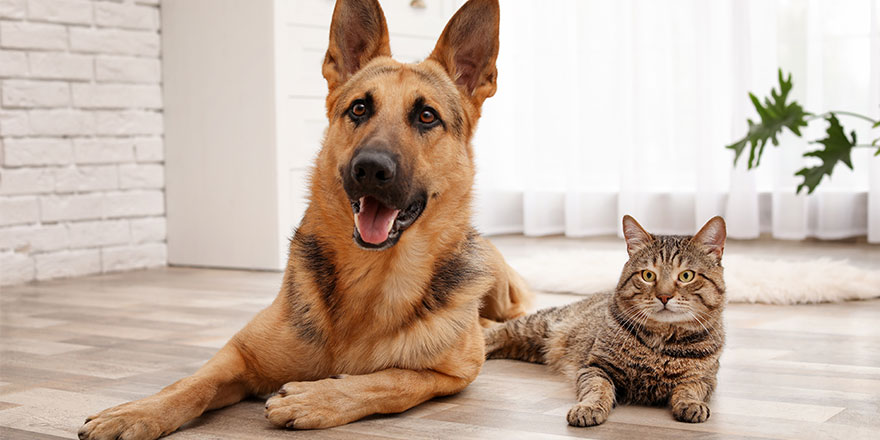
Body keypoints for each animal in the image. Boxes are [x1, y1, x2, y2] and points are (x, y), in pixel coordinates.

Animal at [79, 0, 528, 436]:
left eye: (427, 116)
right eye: (359, 108)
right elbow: (191, 383)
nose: (370, 168)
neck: (371, 278)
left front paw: (318, 398)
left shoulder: (452, 375)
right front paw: (140, 411)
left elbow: (392, 380)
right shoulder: (240, 353)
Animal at [484, 217, 724, 426]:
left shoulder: (704, 379)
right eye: (648, 275)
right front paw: (588, 408)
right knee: (500, 331)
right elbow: (598, 389)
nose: (664, 296)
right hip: (540, 325)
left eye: (686, 276)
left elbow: (689, 390)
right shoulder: (596, 367)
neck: (661, 341)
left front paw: (691, 404)